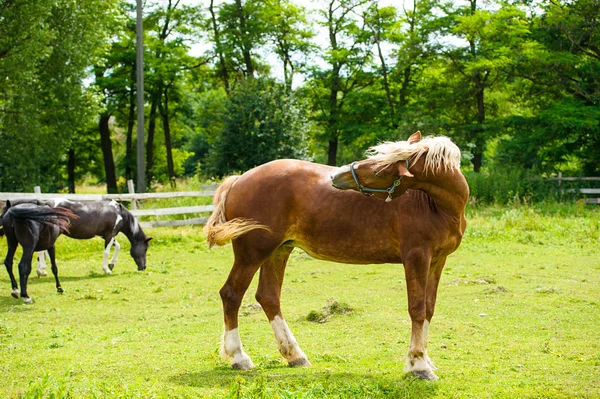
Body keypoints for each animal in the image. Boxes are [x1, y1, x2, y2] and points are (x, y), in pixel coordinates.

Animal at [205, 132, 468, 382]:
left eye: (378, 169)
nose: (336, 176)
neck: (433, 205)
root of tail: (239, 179)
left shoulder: (437, 261)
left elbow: (429, 308)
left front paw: (425, 359)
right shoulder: (416, 257)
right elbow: (417, 308)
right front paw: (418, 365)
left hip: (278, 250)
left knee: (268, 297)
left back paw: (294, 355)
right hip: (252, 253)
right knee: (231, 294)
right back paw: (238, 357)